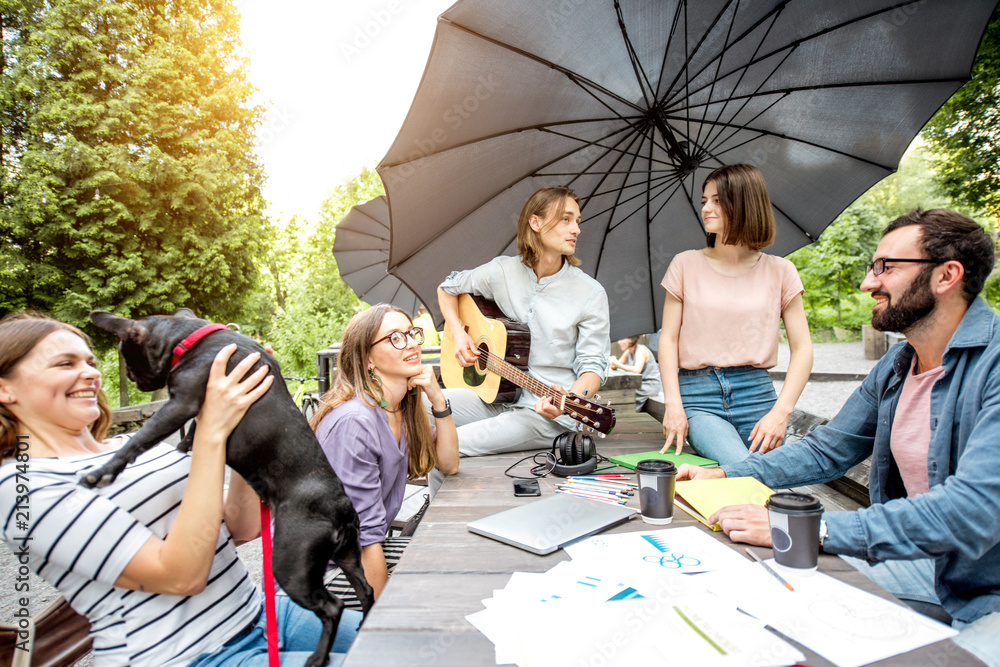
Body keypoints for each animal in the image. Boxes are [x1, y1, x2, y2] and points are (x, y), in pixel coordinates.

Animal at [85, 310, 376, 667]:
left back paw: (317, 658)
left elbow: (140, 440)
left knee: (332, 607)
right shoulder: (200, 410)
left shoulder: (180, 404)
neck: (192, 337)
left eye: (125, 353)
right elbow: (194, 432)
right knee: (365, 589)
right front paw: (183, 449)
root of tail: (340, 507)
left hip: (290, 566)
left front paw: (101, 473)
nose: (130, 375)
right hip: (348, 555)